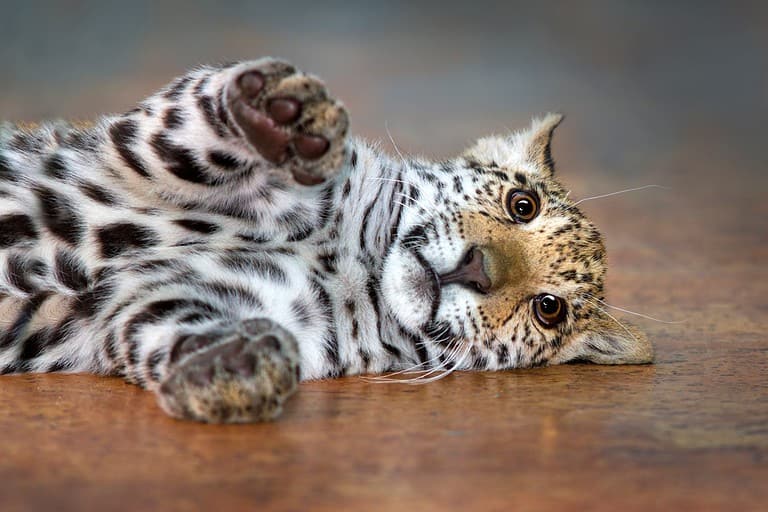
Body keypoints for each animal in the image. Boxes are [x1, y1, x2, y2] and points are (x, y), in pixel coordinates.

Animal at [0, 58, 652, 423]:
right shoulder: (133, 152)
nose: (478, 269)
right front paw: (284, 114)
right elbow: (190, 123)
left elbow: (164, 321)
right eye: (522, 205)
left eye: (549, 309)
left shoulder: (148, 302)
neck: (355, 254)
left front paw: (238, 366)